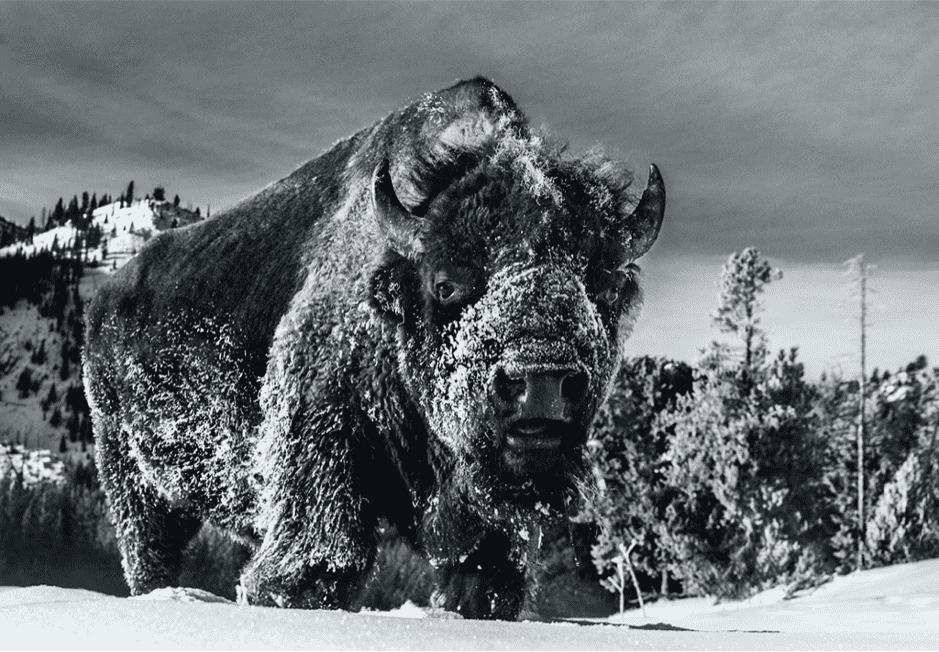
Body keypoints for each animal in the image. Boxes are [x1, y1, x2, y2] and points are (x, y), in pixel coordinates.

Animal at [84, 76, 664, 616]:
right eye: (446, 283)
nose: (540, 382)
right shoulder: (320, 440)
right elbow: (319, 566)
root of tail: (102, 301)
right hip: (131, 479)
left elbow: (486, 581)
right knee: (149, 553)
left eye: (604, 286)